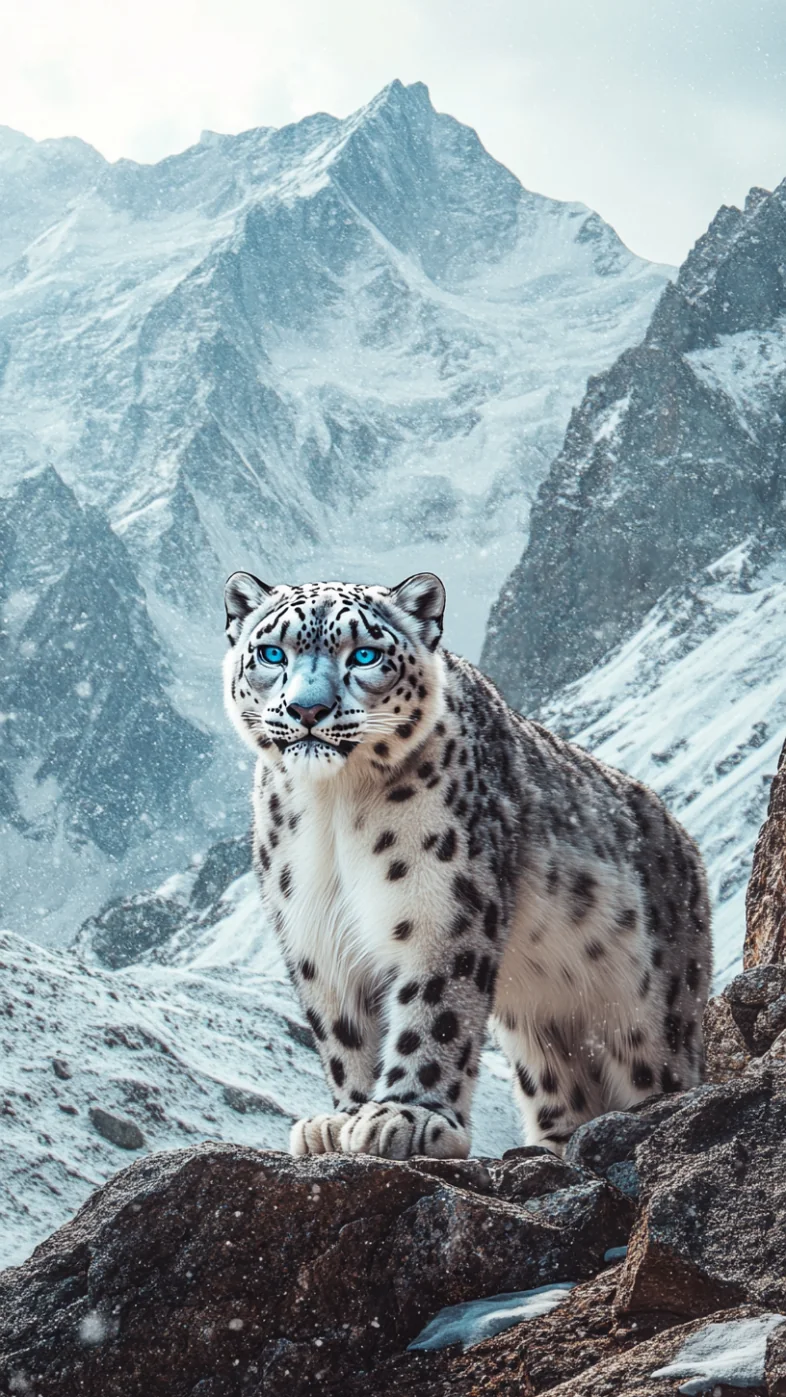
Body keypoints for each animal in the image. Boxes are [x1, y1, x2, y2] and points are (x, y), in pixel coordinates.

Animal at [223, 569, 712, 1160]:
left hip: (650, 1013)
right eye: (272, 652)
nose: (307, 710)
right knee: (562, 1083)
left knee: (655, 1066)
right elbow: (343, 1031)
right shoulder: (313, 927)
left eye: (364, 655)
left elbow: (434, 1010)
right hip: (538, 1027)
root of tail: (684, 843)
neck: (335, 806)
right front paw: (342, 1121)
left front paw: (407, 1115)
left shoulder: (443, 903)